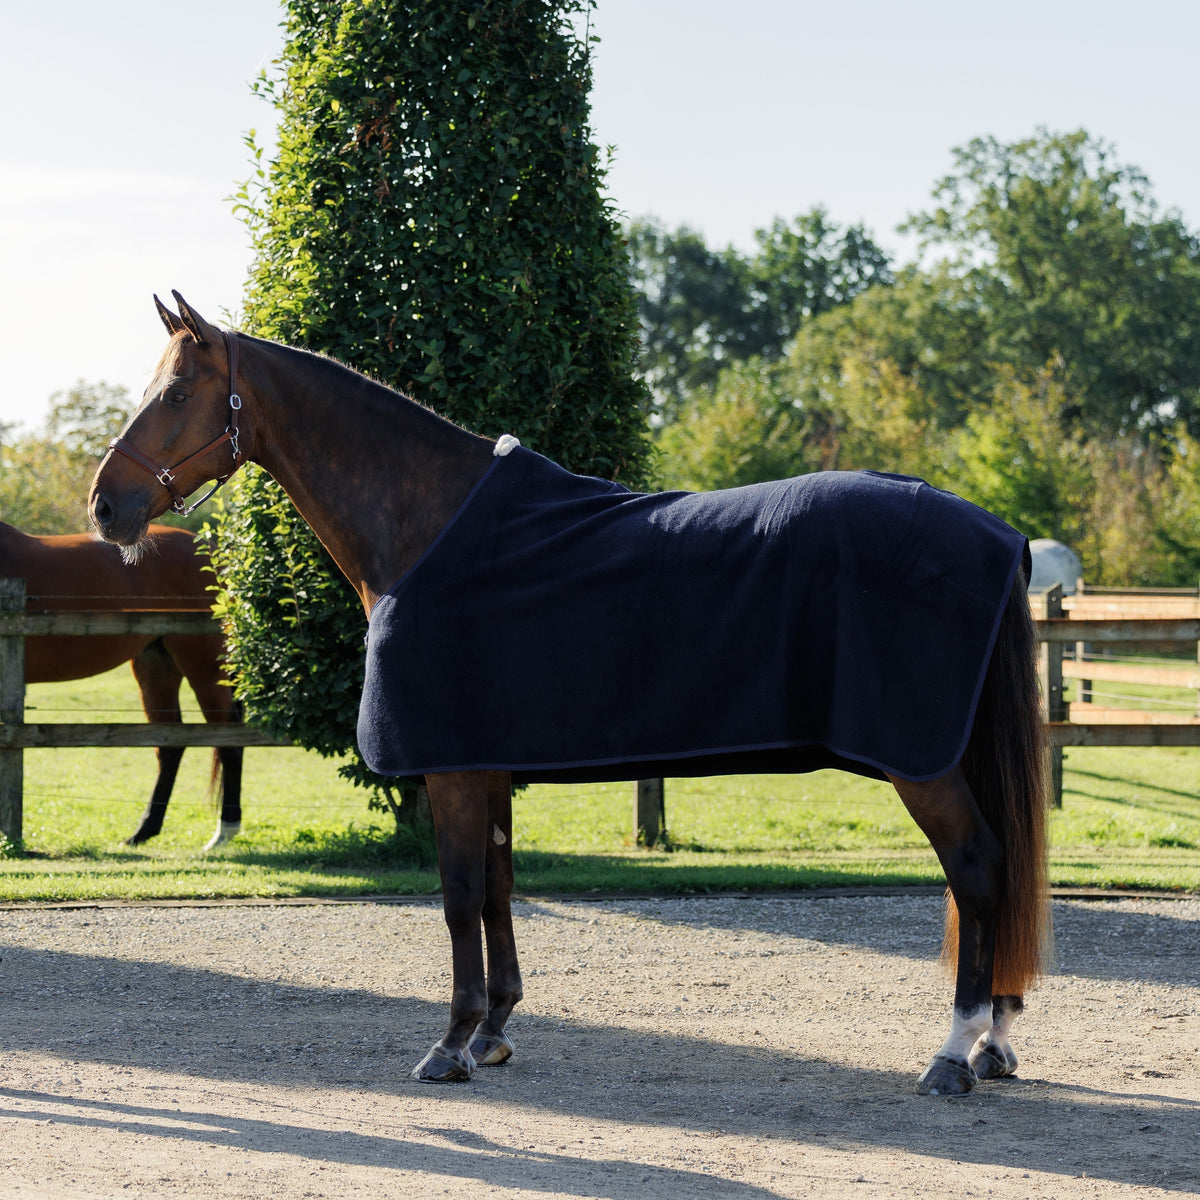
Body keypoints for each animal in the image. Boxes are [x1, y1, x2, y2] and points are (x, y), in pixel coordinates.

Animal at [0, 519, 242, 849]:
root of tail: (211, 550)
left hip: (204, 668)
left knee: (228, 739)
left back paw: (222, 832)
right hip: (156, 665)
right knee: (171, 744)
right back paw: (144, 830)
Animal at [89, 292, 1049, 1097]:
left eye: (178, 393)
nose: (105, 507)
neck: (428, 526)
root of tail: (996, 530)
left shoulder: (450, 765)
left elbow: (458, 894)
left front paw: (450, 1044)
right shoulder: (488, 760)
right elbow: (500, 885)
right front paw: (494, 1032)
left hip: (920, 763)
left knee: (977, 866)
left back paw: (953, 1053)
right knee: (999, 869)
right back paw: (996, 1043)